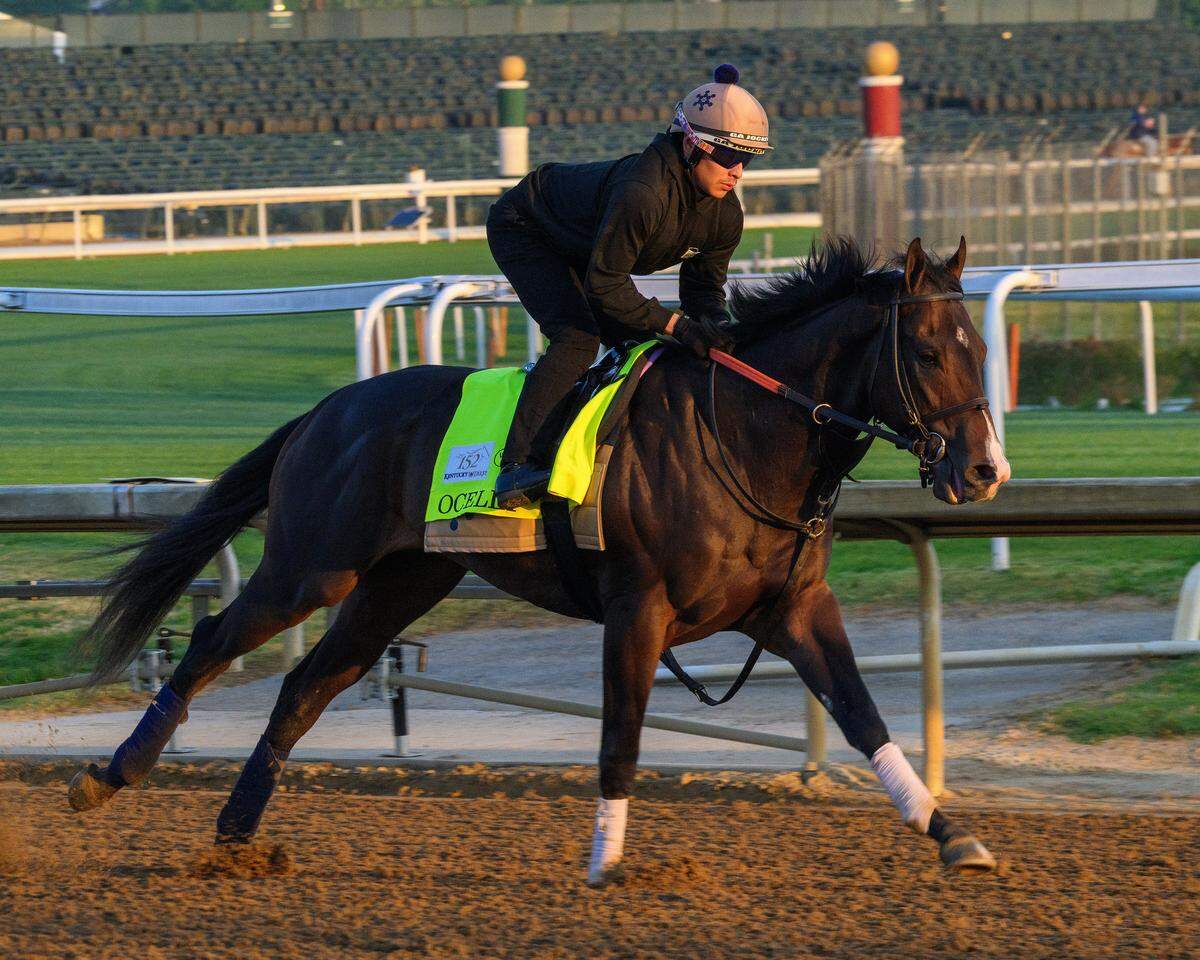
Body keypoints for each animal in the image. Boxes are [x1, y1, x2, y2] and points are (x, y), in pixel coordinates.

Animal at [68, 236, 1011, 886]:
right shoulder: (638, 609)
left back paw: (235, 837)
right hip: (313, 567)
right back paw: (112, 776)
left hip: (400, 584)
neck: (746, 433)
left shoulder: (795, 610)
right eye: (929, 351)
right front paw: (607, 865)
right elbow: (621, 737)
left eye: (980, 348)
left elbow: (862, 714)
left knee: (306, 688)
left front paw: (951, 833)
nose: (984, 471)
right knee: (212, 641)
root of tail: (325, 410)